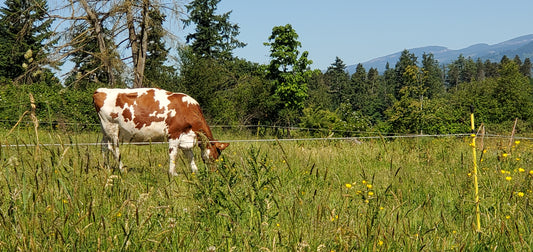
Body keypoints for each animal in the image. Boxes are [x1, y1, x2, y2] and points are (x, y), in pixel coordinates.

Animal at [92, 87, 229, 175]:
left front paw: (194, 171)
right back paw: (122, 169)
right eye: (214, 157)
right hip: (112, 128)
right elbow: (173, 154)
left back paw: (107, 168)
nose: (213, 173)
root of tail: (100, 90)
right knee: (114, 149)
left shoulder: (185, 137)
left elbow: (190, 155)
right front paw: (173, 173)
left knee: (104, 147)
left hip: (105, 131)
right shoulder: (174, 134)